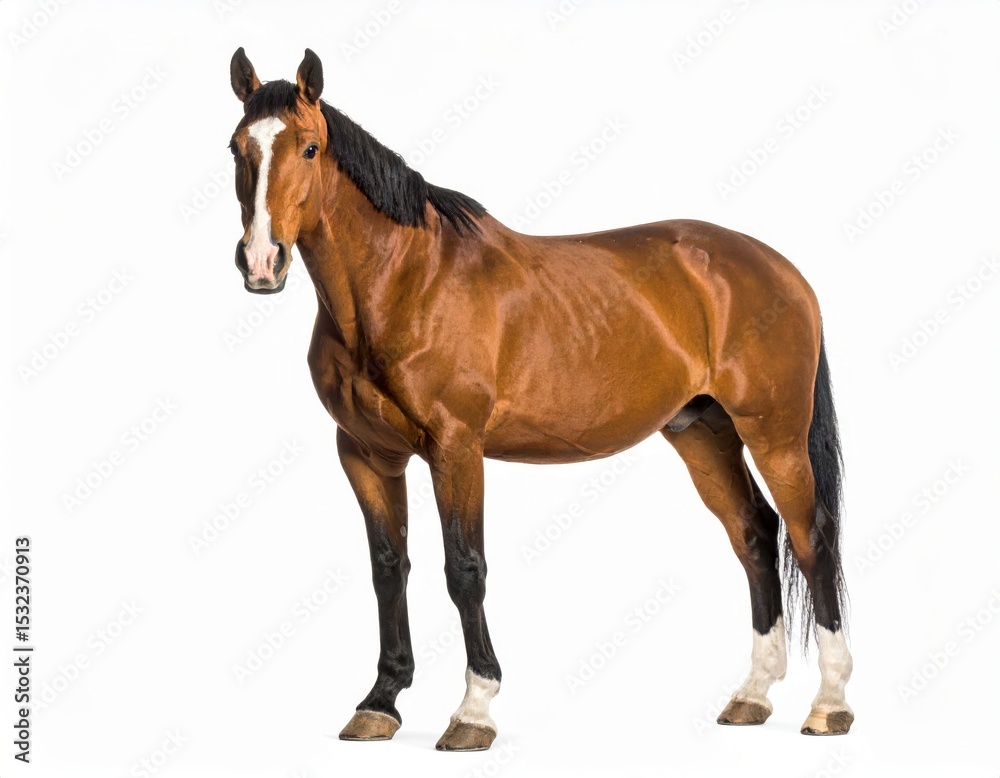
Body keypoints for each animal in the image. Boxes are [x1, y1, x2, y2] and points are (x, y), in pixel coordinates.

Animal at [227, 47, 853, 751]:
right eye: (236, 148)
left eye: (309, 148)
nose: (261, 262)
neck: (405, 282)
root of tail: (780, 270)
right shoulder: (364, 453)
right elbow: (389, 568)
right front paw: (381, 701)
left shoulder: (455, 449)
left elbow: (464, 568)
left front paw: (473, 710)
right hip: (703, 434)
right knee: (755, 535)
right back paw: (751, 696)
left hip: (776, 434)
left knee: (812, 537)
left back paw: (829, 704)